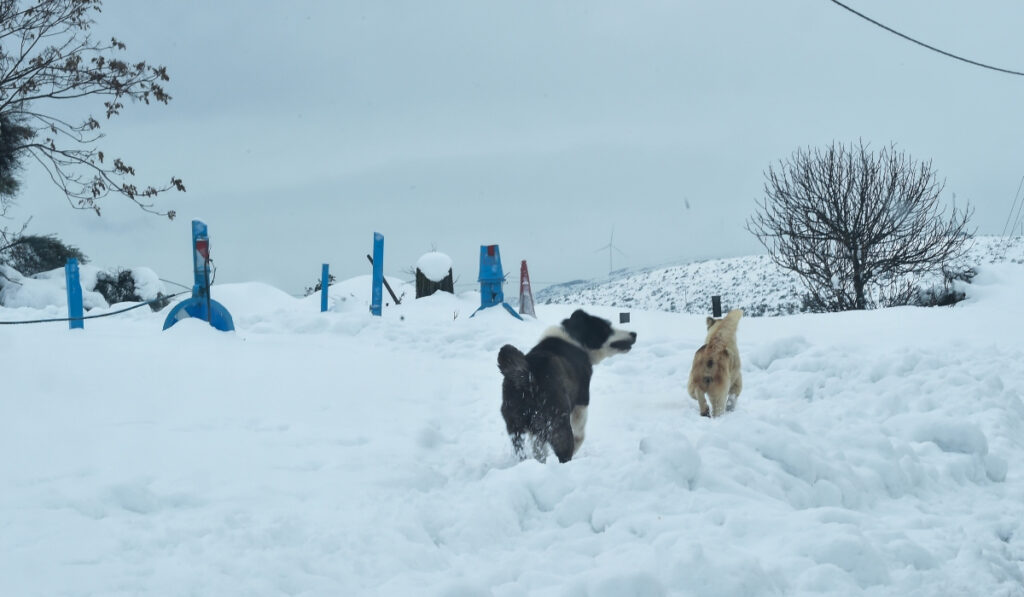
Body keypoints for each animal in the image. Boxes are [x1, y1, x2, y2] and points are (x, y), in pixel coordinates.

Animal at [493, 311, 630, 464]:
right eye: (607, 327)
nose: (634, 334)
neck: (574, 337)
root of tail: (528, 375)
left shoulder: (536, 430)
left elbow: (539, 449)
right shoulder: (581, 402)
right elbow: (580, 435)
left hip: (515, 426)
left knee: (521, 452)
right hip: (558, 424)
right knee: (564, 453)